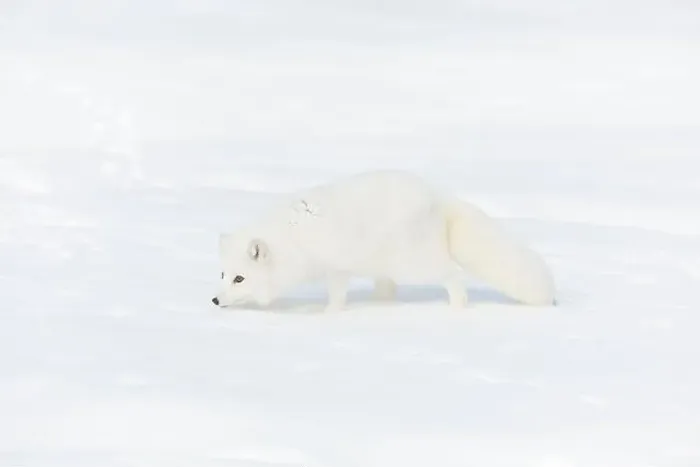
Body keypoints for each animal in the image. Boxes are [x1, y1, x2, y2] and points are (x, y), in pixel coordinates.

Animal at [212, 170, 556, 311]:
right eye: (222, 274)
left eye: (240, 278)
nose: (215, 300)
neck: (292, 236)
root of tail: (437, 196)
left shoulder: (336, 266)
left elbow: (336, 296)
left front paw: (328, 315)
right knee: (389, 288)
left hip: (414, 263)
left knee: (454, 276)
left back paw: (457, 309)